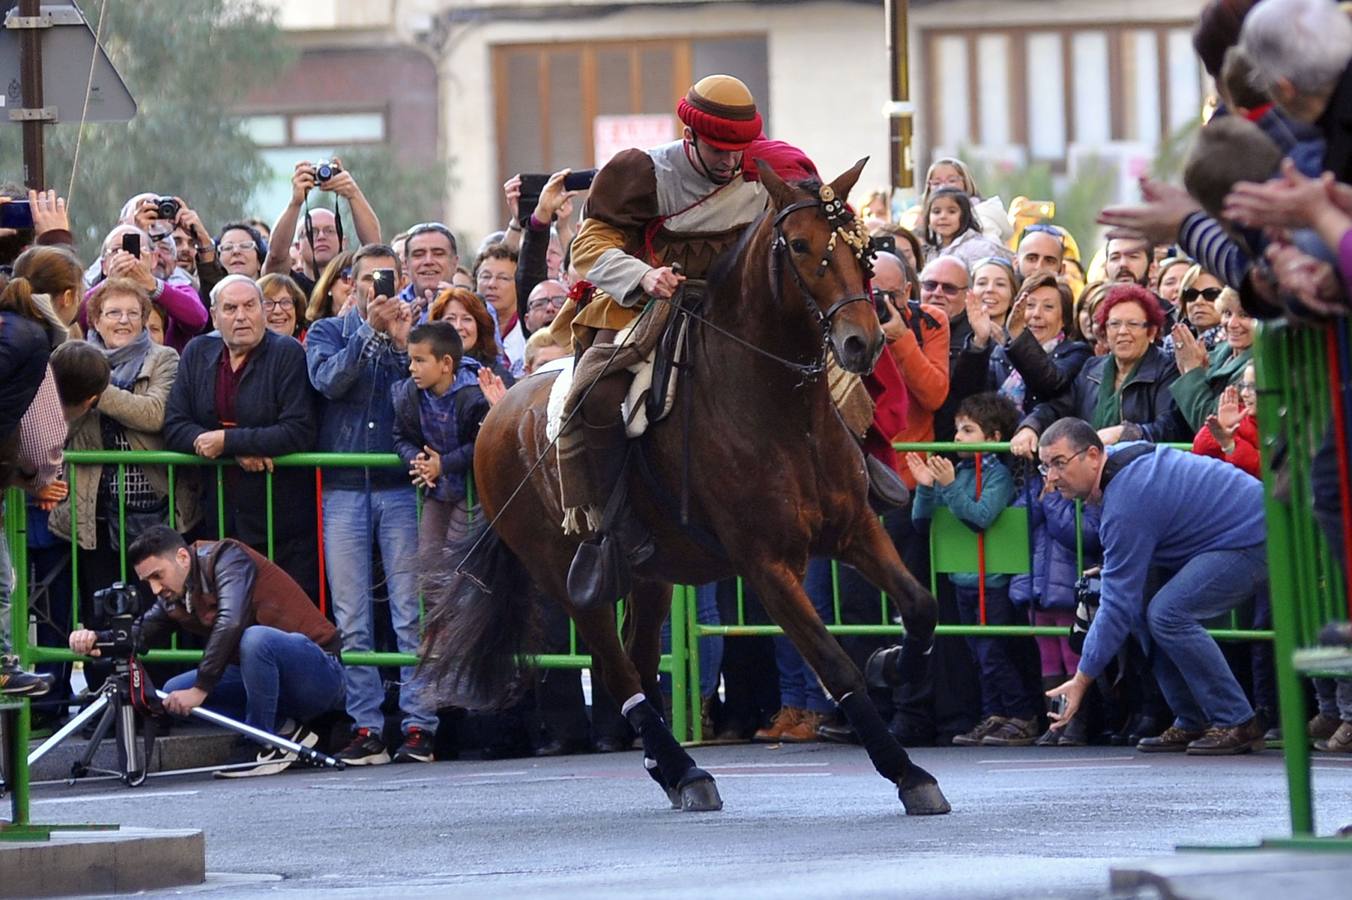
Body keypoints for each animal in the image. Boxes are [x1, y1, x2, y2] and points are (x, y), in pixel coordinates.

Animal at [421, 159, 951, 810]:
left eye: (863, 249)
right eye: (801, 246)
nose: (864, 342)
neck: (781, 410)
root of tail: (499, 411)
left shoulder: (855, 529)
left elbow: (922, 607)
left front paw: (891, 663)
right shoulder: (767, 564)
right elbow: (835, 663)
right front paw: (906, 770)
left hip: (652, 574)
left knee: (641, 661)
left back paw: (669, 766)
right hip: (563, 575)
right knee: (617, 667)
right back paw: (683, 768)